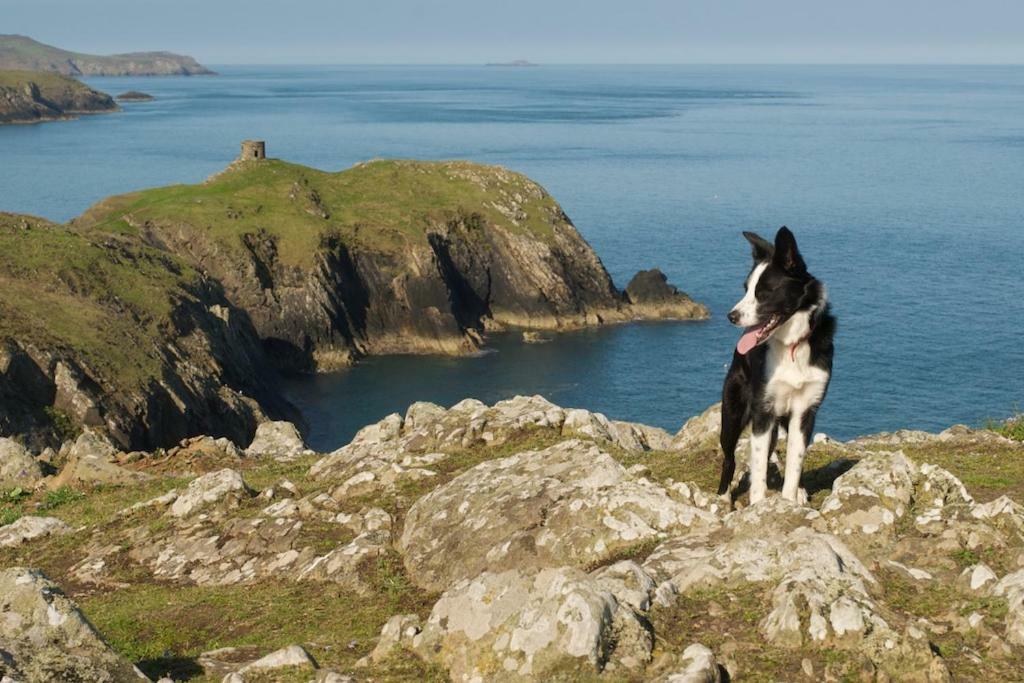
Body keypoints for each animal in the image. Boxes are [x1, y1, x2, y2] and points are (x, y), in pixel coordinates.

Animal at [716, 228, 835, 501]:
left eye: (763, 293)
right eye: (746, 289)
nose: (731, 316)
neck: (791, 345)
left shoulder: (806, 410)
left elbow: (795, 461)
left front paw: (789, 499)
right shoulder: (763, 408)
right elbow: (758, 466)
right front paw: (759, 503)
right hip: (733, 411)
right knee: (729, 458)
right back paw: (723, 497)